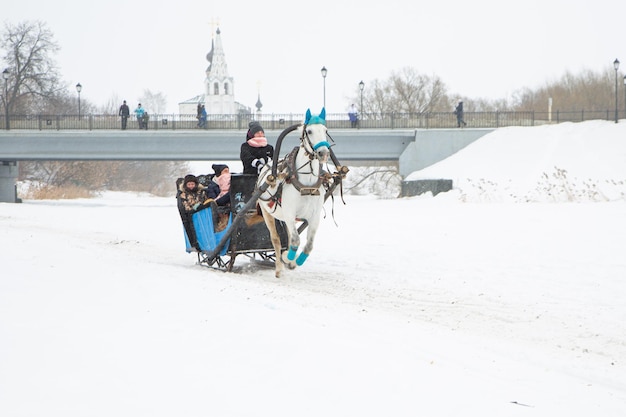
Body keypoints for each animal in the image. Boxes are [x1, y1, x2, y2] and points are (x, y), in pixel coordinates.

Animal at [255, 108, 332, 276]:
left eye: (325, 130)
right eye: (309, 131)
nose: (323, 153)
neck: (306, 185)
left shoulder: (314, 217)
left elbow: (308, 245)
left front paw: (295, 260)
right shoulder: (290, 214)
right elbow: (295, 241)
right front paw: (287, 257)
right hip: (267, 213)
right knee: (276, 239)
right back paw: (279, 267)